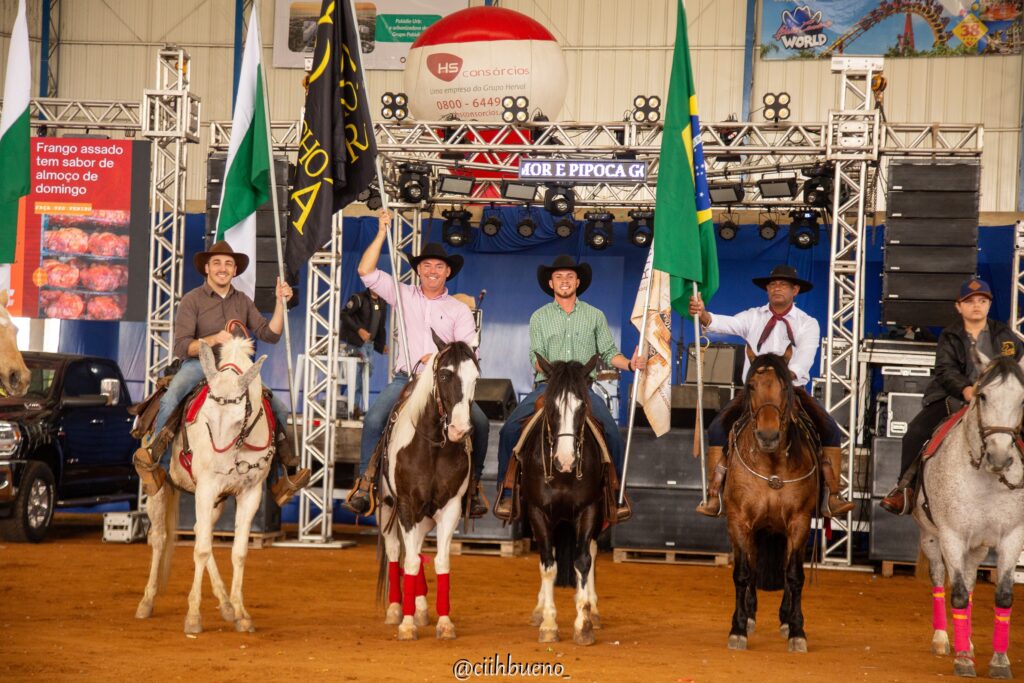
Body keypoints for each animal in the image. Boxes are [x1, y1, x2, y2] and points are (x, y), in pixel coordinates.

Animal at [137, 337, 272, 634]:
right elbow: (200, 549)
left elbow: (238, 552)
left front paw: (242, 614)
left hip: (216, 501)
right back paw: (147, 601)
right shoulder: (206, 488)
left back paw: (226, 606)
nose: (220, 466)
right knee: (160, 538)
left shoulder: (251, 493)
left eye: (239, 420)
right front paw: (193, 617)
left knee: (201, 531)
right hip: (160, 488)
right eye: (206, 417)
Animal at [376, 333, 479, 643]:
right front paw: (407, 624)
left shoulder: (450, 508)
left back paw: (420, 607)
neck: (432, 446)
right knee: (396, 551)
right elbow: (408, 562)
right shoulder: (406, 505)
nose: (460, 430)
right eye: (444, 374)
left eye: (476, 378)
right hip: (388, 509)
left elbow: (441, 562)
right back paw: (396, 609)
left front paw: (444, 623)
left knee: (419, 550)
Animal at [516, 358, 602, 647]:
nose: (566, 461)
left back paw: (592, 608)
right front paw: (549, 624)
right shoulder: (537, 512)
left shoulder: (589, 510)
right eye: (552, 407)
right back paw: (539, 610)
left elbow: (583, 561)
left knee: (592, 551)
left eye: (582, 406)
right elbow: (547, 565)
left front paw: (583, 624)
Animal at [720, 350, 823, 655]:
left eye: (785, 386)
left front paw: (797, 630)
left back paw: (786, 619)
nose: (768, 436)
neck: (771, 465)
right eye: (752, 385)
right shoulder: (740, 521)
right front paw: (738, 627)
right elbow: (743, 573)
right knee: (752, 566)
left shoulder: (800, 522)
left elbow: (794, 576)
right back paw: (750, 615)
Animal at [917, 352, 1024, 679]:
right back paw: (942, 639)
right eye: (983, 396)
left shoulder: (1012, 538)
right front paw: (963, 660)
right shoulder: (951, 536)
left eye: (1022, 399)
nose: (1000, 457)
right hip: (931, 538)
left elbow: (1003, 596)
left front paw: (999, 661)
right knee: (940, 579)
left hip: (977, 547)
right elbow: (959, 594)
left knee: (971, 578)